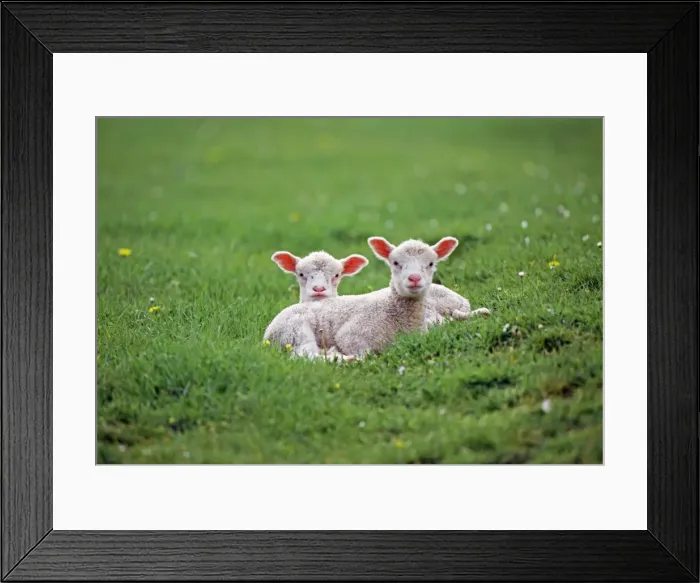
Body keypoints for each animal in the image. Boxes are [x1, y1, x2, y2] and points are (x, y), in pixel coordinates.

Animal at [263, 236, 463, 361]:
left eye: (431, 264)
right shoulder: (350, 335)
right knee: (306, 356)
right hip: (294, 332)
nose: (414, 278)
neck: (394, 312)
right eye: (395, 263)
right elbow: (364, 353)